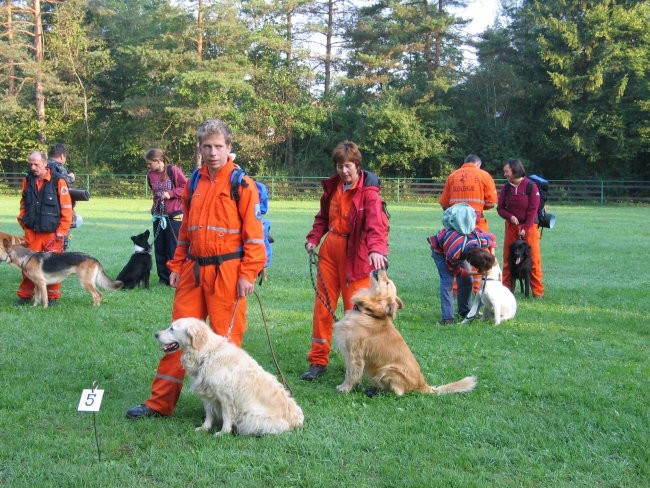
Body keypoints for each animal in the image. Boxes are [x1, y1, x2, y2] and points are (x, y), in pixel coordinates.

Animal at [155, 318, 304, 436]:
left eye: (172, 329)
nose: (155, 334)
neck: (207, 353)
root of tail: (297, 421)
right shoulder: (207, 393)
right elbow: (209, 413)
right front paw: (204, 428)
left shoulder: (226, 396)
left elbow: (227, 416)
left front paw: (223, 433)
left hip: (251, 417)